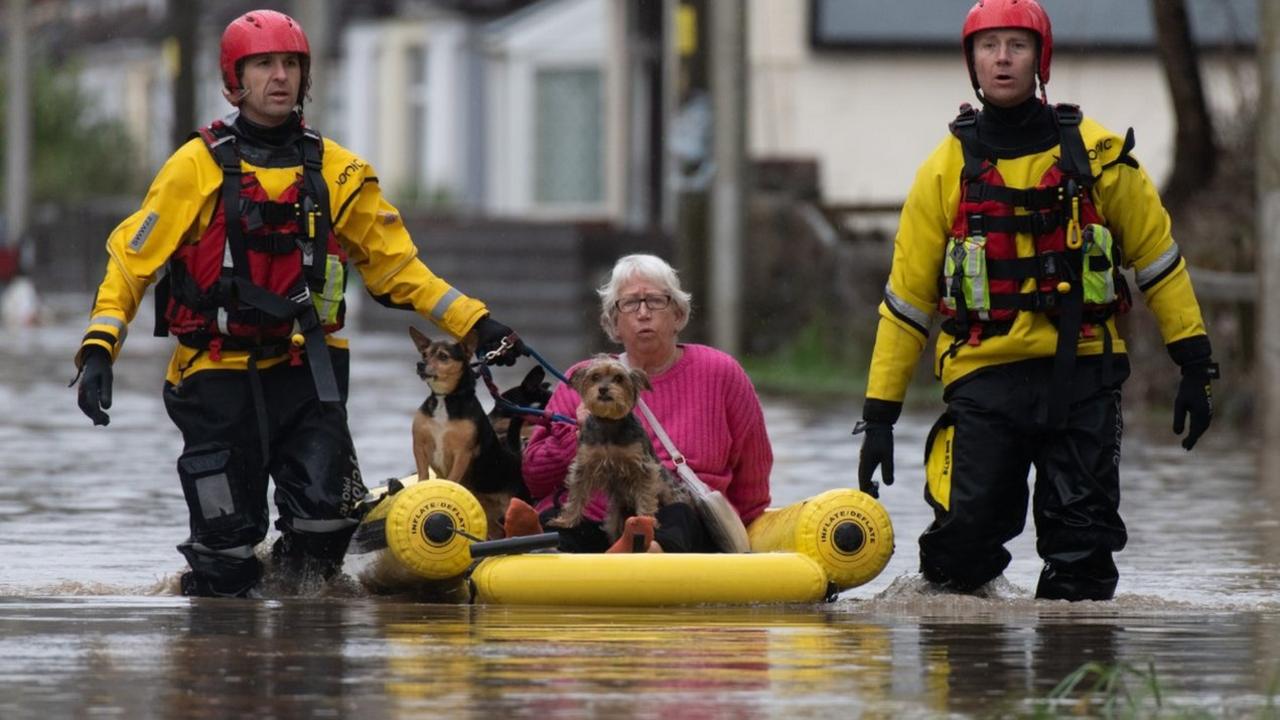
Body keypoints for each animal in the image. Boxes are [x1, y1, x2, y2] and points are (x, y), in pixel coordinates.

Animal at [412, 327, 527, 535]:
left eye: (443, 356)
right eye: (424, 354)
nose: (420, 364)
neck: (445, 399)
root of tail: (516, 456)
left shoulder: (462, 453)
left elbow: (451, 480)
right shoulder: (419, 445)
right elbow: (423, 476)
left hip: (514, 504)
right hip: (488, 513)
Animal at [550, 353, 691, 538]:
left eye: (619, 378)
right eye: (595, 377)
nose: (603, 389)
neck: (609, 422)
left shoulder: (643, 467)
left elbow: (646, 495)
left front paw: (646, 521)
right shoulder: (584, 465)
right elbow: (577, 493)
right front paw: (566, 520)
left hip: (669, 491)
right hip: (615, 516)